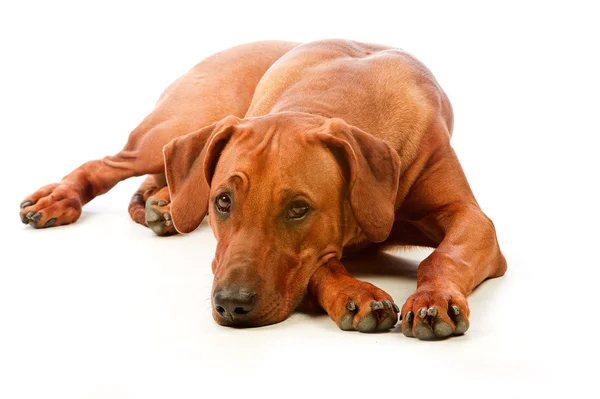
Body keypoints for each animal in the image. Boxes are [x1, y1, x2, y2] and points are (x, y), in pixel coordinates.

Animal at [18, 39, 506, 340]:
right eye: (223, 201)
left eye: (298, 209)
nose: (231, 306)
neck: (329, 98)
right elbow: (319, 265)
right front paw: (353, 293)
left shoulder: (472, 220)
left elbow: (445, 254)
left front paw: (432, 299)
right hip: (173, 129)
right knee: (109, 163)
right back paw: (60, 199)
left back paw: (163, 203)